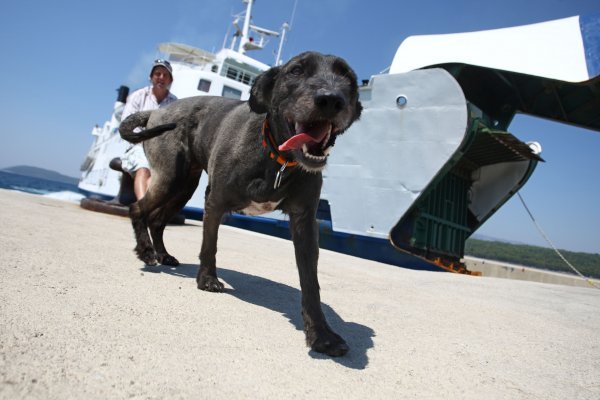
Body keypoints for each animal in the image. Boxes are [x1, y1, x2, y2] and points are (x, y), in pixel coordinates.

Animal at [118, 50, 360, 356]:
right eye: (296, 71)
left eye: (348, 78)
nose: (331, 99)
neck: (276, 156)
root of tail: (157, 112)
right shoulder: (215, 201)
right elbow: (209, 246)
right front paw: (207, 279)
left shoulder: (305, 221)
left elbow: (311, 283)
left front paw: (321, 334)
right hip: (170, 177)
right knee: (138, 209)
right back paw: (147, 252)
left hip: (184, 186)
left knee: (158, 219)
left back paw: (163, 254)